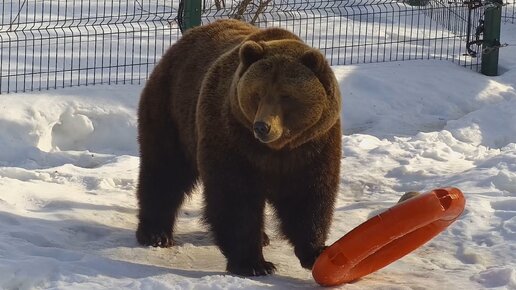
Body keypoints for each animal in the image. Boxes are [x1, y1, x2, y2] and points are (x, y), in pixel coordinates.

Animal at [135, 19, 340, 278]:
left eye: (286, 95)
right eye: (257, 93)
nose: (262, 127)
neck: (277, 148)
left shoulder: (313, 144)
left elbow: (308, 196)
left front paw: (315, 251)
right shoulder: (233, 137)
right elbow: (235, 196)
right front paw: (254, 263)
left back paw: (263, 237)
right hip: (171, 109)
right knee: (165, 170)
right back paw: (155, 233)